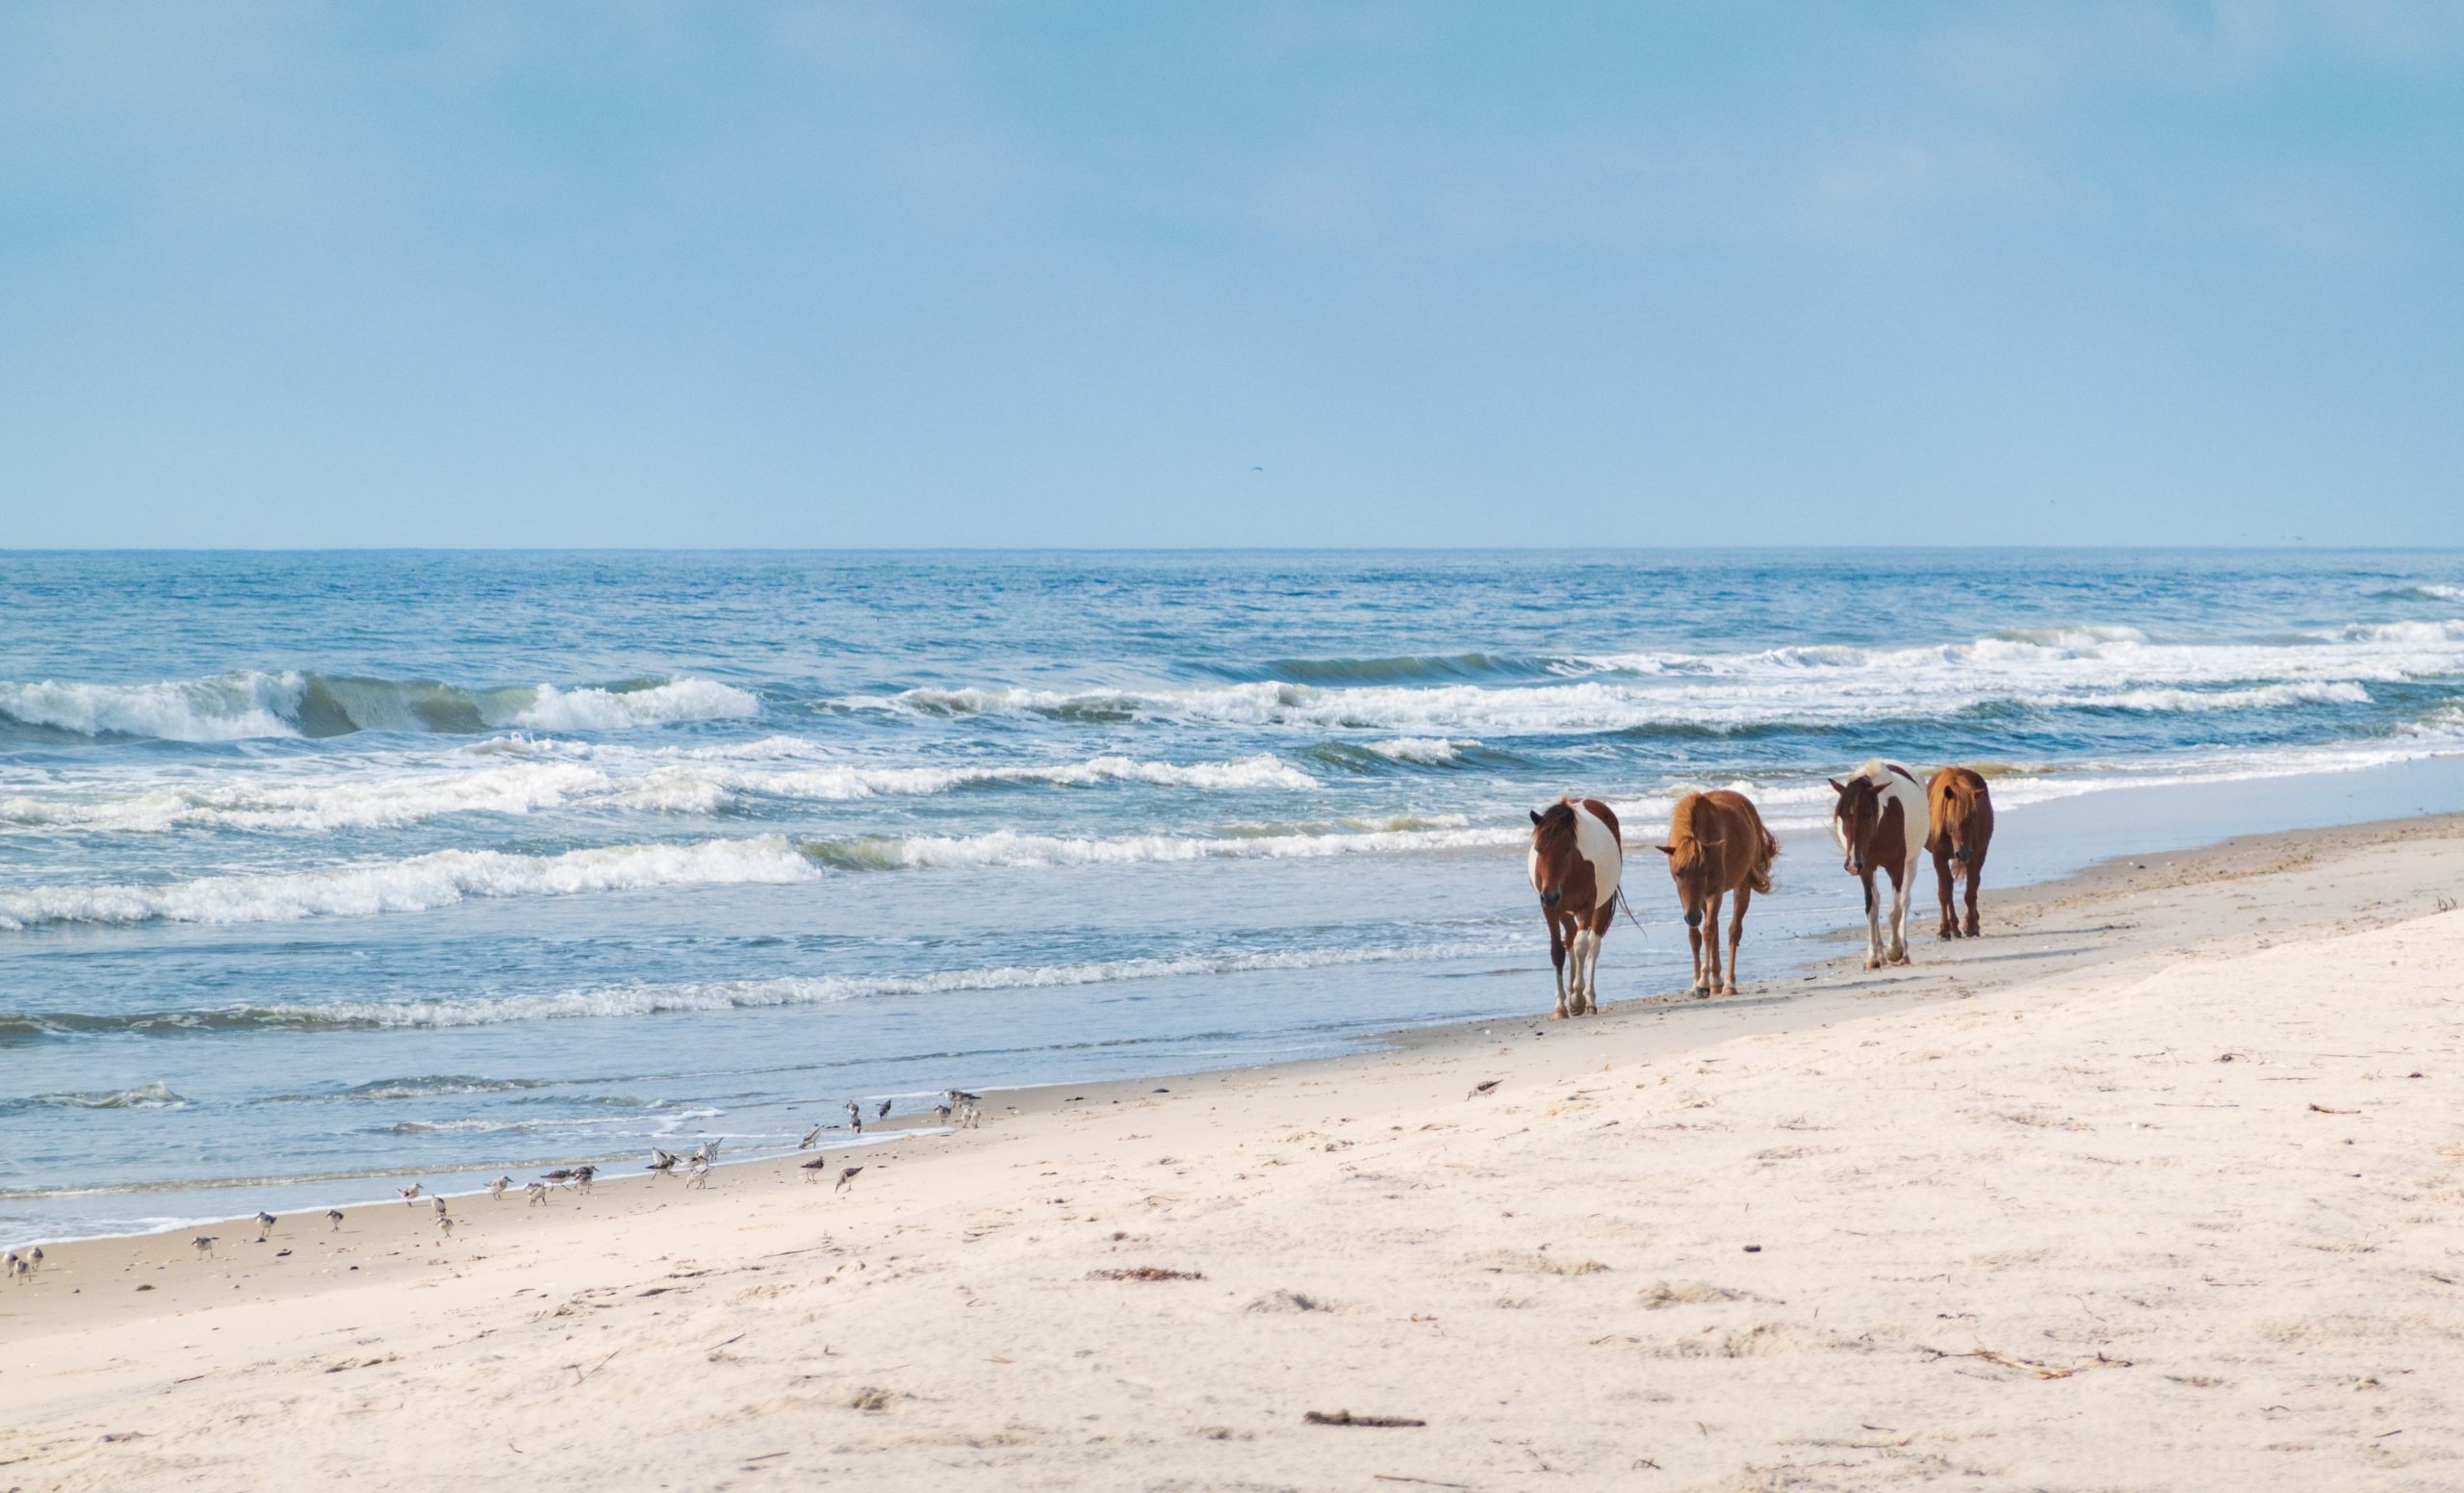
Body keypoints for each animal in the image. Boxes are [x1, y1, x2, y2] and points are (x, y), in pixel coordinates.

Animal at [1527, 803, 1626, 1024]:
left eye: (1567, 849)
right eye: (1538, 849)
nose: (1550, 895)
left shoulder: (1587, 907)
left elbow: (1582, 946)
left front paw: (1578, 998)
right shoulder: (1550, 909)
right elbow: (1557, 951)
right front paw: (1561, 1006)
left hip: (1600, 906)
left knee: (1592, 947)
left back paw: (1588, 999)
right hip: (1563, 910)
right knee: (1570, 938)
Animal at [1656, 788, 1774, 1000]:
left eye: (1704, 871)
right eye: (1678, 873)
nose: (1693, 917)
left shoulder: (1714, 892)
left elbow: (1709, 931)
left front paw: (1702, 982)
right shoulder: (1690, 901)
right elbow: (1695, 936)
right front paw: (1696, 984)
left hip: (1741, 885)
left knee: (1733, 930)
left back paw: (1728, 983)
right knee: (1715, 929)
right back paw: (1716, 982)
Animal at [1823, 759, 1932, 970]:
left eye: (1867, 814)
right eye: (1841, 815)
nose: (1851, 865)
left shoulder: (1896, 866)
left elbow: (1895, 910)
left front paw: (1895, 950)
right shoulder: (1866, 868)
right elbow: (1871, 908)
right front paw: (1873, 956)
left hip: (1911, 862)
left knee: (1905, 901)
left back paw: (1903, 952)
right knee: (1878, 900)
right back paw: (1881, 954)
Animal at [1921, 773, 2000, 936]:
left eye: (1973, 817)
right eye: (1949, 819)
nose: (1962, 853)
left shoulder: (1974, 855)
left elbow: (1970, 891)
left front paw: (1970, 926)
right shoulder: (1938, 857)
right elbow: (1944, 893)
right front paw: (1944, 929)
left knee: (1974, 883)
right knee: (1948, 885)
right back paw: (1953, 927)